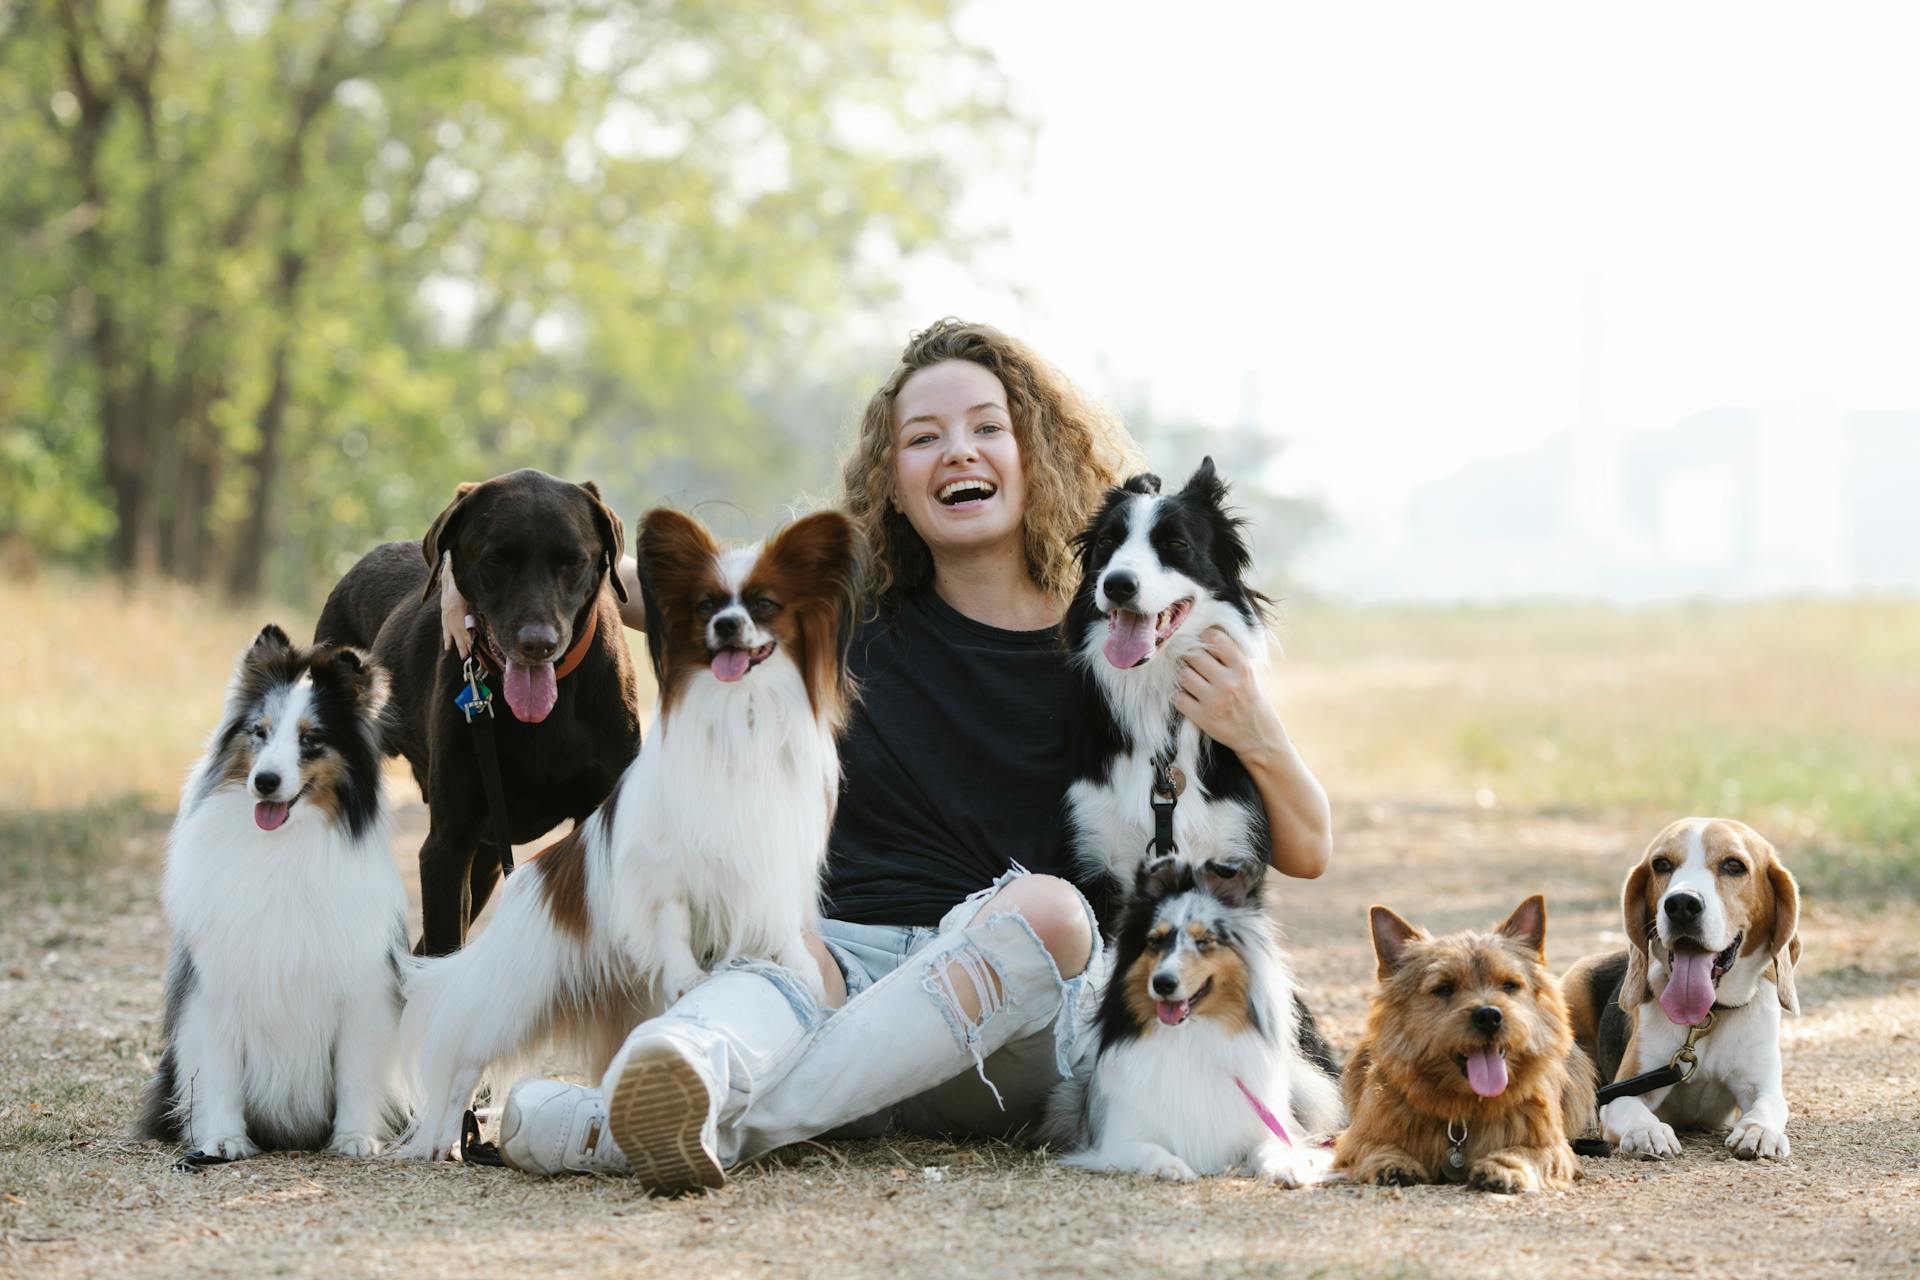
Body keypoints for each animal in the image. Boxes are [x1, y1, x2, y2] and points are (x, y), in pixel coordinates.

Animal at [141, 625, 412, 1166]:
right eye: (259, 732)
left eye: (311, 740)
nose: (264, 782)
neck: (283, 845)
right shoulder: (216, 987)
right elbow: (221, 1072)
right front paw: (223, 1140)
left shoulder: (362, 990)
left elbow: (355, 1071)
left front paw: (354, 1137)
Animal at [389, 506, 856, 1159]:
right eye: (707, 605)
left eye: (764, 605)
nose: (727, 626)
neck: (741, 715)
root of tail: (525, 881)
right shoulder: (662, 870)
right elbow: (672, 920)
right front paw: (687, 976)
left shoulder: (773, 857)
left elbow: (780, 924)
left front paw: (801, 971)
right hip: (514, 998)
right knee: (461, 1058)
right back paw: (440, 1139)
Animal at [1044, 855, 1344, 1189]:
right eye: (1155, 941)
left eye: (1205, 941)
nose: (1163, 983)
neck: (1190, 1035)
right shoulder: (1116, 1141)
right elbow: (1150, 1149)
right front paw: (1171, 1167)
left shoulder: (1260, 1125)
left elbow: (1270, 1147)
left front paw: (1285, 1167)